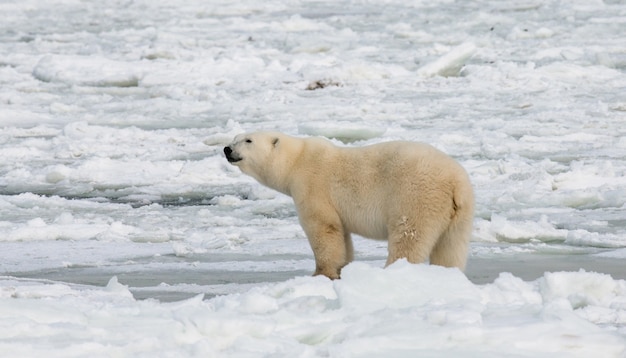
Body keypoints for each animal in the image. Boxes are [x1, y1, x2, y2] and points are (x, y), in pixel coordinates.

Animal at [224, 131, 472, 280]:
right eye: (235, 137)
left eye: (248, 140)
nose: (227, 149)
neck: (296, 161)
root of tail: (456, 182)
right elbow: (342, 235)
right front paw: (342, 269)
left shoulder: (313, 187)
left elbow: (323, 229)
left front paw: (321, 274)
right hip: (458, 212)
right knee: (451, 246)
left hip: (415, 196)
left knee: (409, 237)